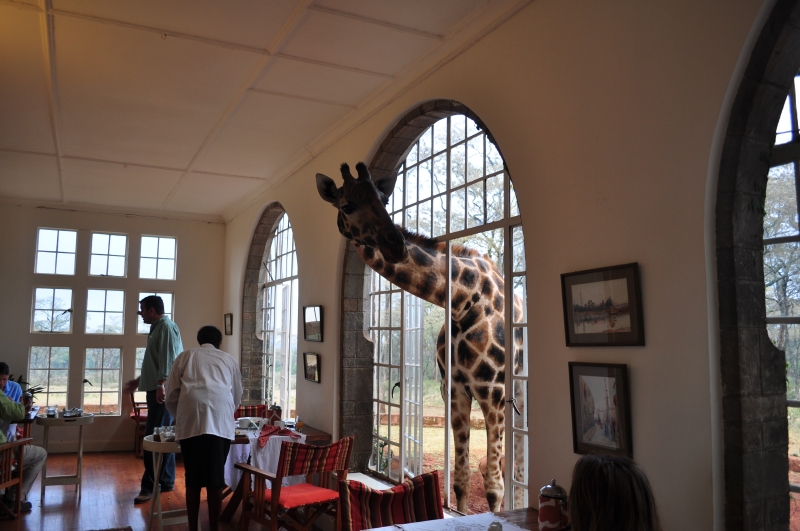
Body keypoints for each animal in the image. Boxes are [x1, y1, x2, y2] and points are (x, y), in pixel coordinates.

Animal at [317, 162, 524, 513]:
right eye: (347, 205)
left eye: (385, 201)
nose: (395, 244)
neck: (461, 300)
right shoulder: (454, 391)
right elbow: (460, 480)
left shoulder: (493, 392)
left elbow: (495, 488)